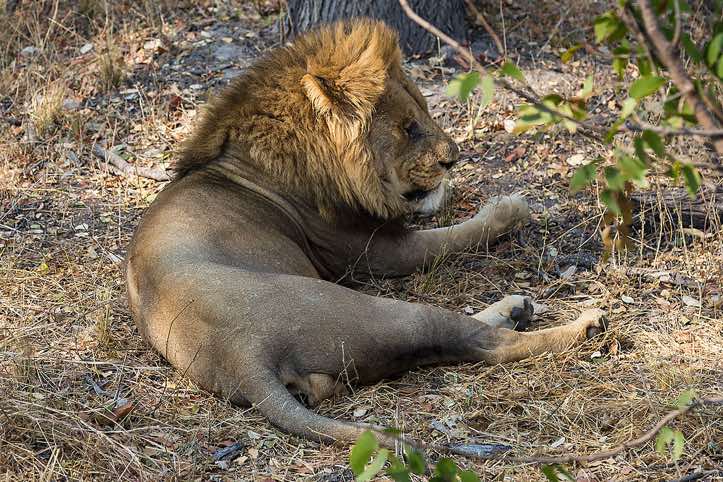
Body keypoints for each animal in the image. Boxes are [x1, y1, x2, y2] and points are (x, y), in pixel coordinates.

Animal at [126, 19, 606, 446]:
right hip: (373, 309)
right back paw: (584, 324)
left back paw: (517, 306)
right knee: (486, 343)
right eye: (409, 128)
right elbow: (455, 235)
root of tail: (239, 354)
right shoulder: (378, 251)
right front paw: (510, 207)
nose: (454, 158)